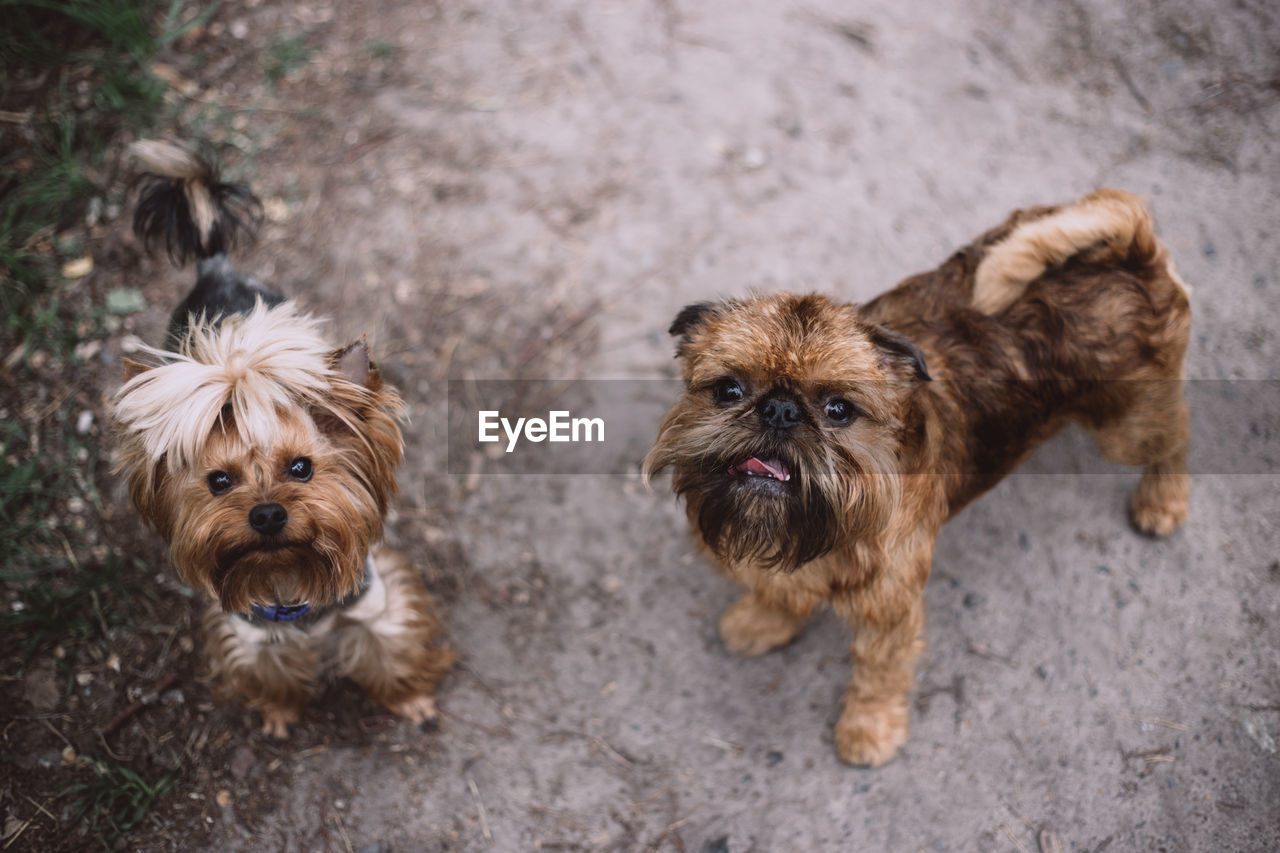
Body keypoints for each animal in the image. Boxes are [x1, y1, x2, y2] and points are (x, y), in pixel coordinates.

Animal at [113, 139, 455, 732]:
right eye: (219, 481)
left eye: (302, 468)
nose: (268, 514)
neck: (288, 574)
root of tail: (214, 264)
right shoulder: (248, 631)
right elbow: (268, 670)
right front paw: (278, 710)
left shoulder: (376, 603)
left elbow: (391, 647)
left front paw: (410, 699)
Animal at [645, 189, 1192, 758]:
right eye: (728, 390)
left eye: (839, 409)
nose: (779, 410)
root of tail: (1130, 247)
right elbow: (779, 591)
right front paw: (763, 620)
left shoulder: (890, 610)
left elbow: (878, 669)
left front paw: (869, 726)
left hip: (1127, 426)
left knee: (1177, 436)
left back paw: (1163, 501)